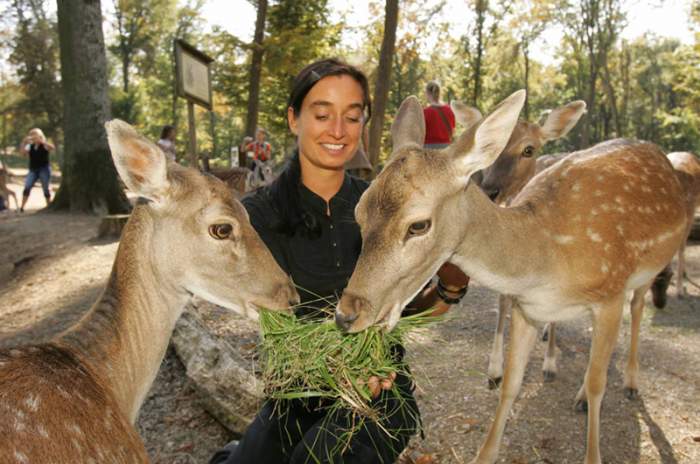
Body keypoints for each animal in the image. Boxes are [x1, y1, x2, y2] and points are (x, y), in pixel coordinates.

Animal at [652, 150, 700, 306]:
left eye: (668, 278)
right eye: (652, 284)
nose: (660, 304)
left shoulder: (688, 216)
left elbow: (681, 248)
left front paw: (680, 290)